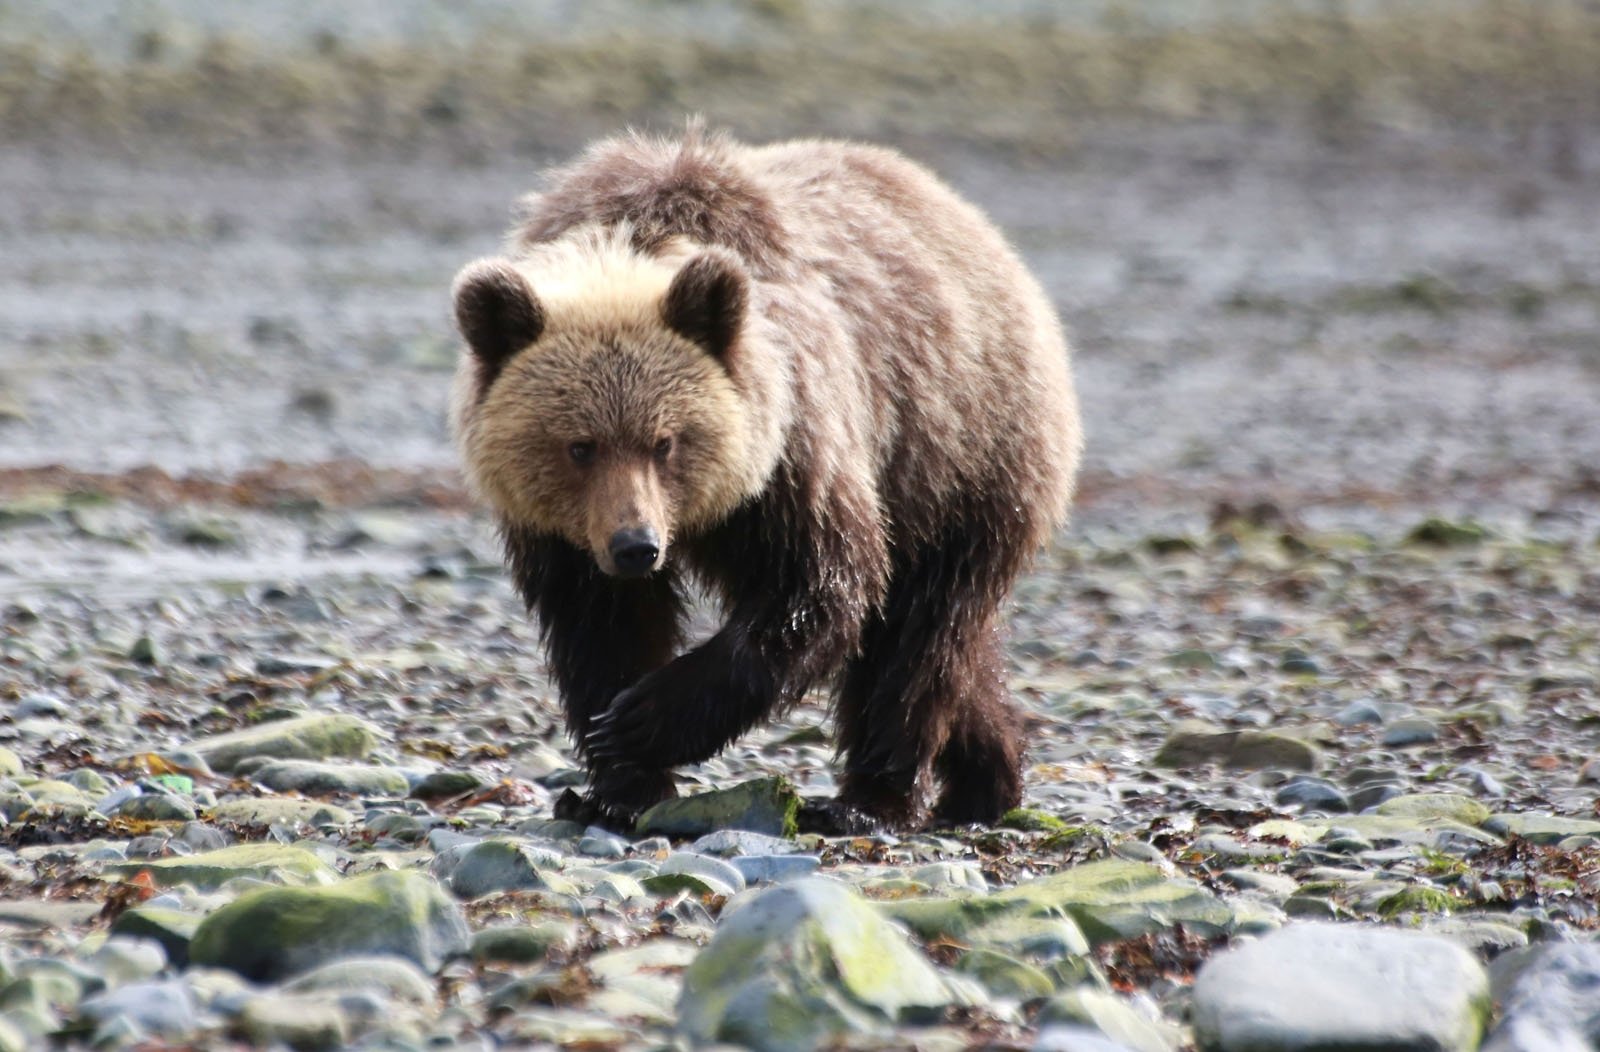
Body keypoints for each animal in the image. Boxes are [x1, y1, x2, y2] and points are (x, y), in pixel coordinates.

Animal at [450, 127, 1081, 832]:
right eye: (579, 446)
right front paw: (615, 785)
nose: (637, 546)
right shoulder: (567, 535)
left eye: (665, 441)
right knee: (956, 652)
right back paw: (988, 775)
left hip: (958, 456)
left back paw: (871, 799)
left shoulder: (793, 446)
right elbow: (601, 627)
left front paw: (644, 719)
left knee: (917, 636)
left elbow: (817, 587)